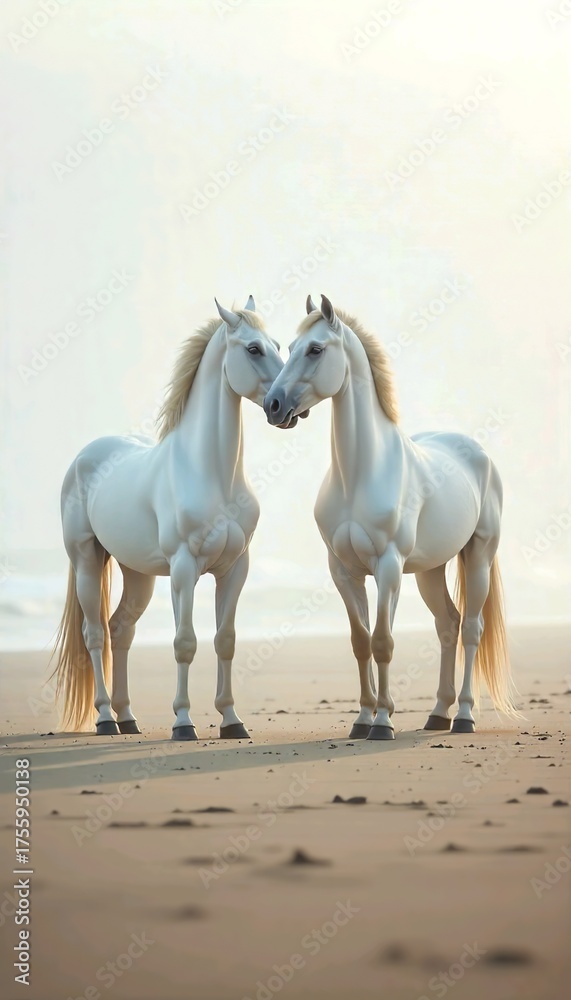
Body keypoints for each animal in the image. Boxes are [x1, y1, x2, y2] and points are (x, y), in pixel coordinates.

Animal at [52, 296, 290, 740]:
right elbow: (185, 642)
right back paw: (106, 718)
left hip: (138, 574)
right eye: (253, 349)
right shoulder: (184, 568)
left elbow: (225, 640)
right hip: (87, 561)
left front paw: (232, 721)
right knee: (95, 635)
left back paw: (128, 718)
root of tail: (85, 455)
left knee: (121, 630)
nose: (282, 407)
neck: (212, 473)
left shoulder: (235, 568)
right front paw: (183, 722)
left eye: (280, 345)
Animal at [263, 293, 519, 739]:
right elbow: (361, 641)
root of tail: (477, 451)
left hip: (479, 558)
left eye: (315, 350)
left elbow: (383, 640)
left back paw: (464, 716)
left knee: (471, 629)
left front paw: (383, 723)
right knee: (448, 625)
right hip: (430, 571)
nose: (273, 405)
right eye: (289, 347)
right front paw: (363, 719)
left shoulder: (387, 566)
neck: (358, 475)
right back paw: (437, 714)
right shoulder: (344, 571)